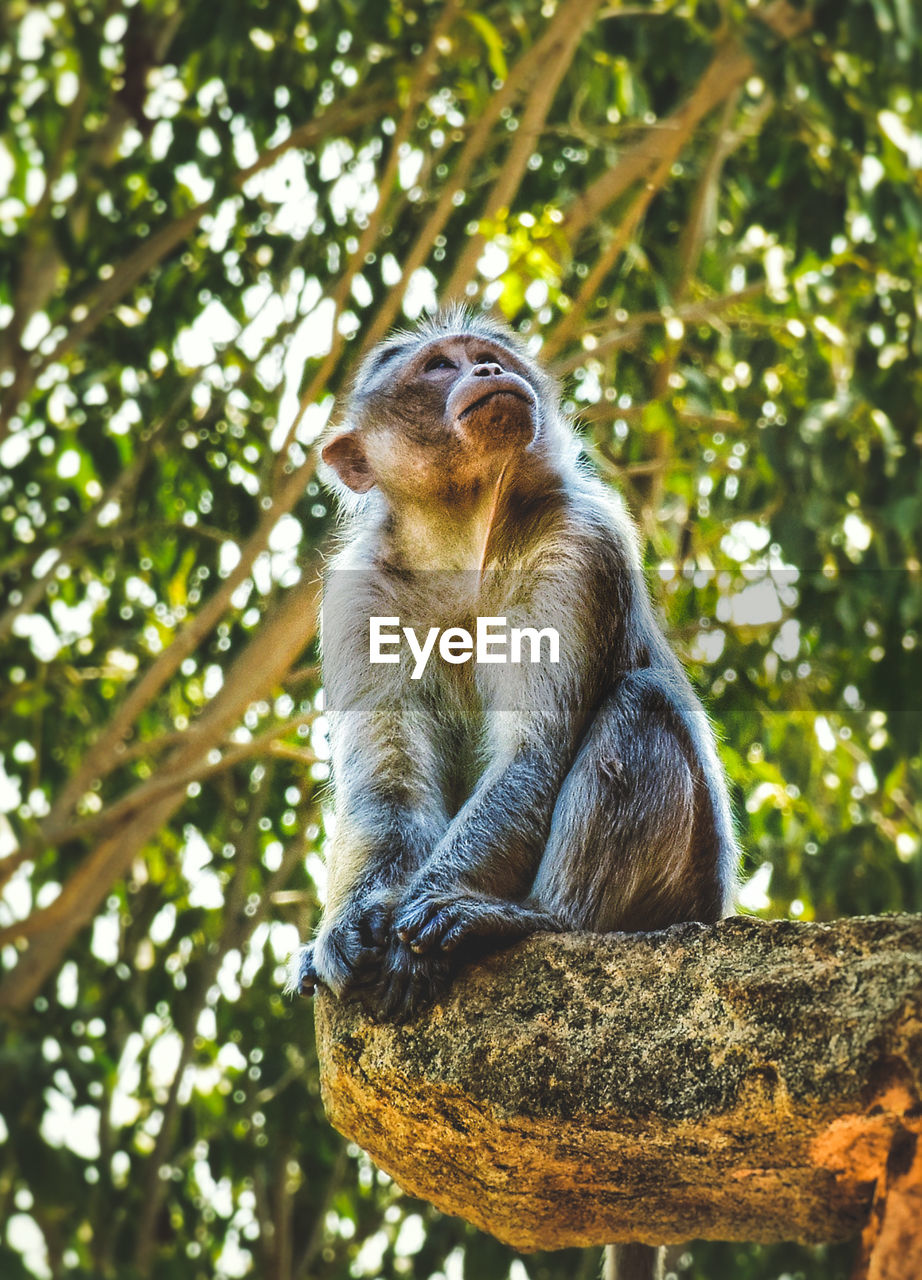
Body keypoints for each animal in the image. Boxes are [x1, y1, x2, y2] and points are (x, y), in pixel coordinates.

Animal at [297, 307, 742, 1280]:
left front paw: (426, 919)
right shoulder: (359, 596)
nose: (488, 372)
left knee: (638, 709)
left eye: (488, 353)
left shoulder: (580, 545)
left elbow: (534, 754)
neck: (461, 540)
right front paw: (353, 930)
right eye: (438, 367)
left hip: (686, 897)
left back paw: (538, 921)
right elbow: (386, 791)